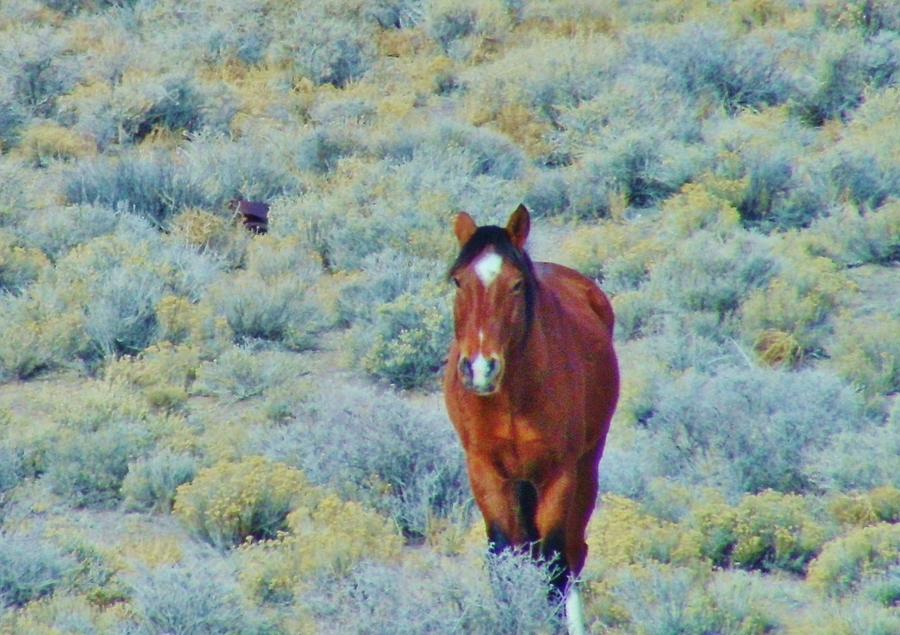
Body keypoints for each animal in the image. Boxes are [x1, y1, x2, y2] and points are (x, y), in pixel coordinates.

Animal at [444, 206, 620, 632]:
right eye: (458, 281)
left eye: (516, 284)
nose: (479, 368)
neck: (512, 398)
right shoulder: (486, 473)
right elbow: (503, 557)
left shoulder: (558, 476)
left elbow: (555, 563)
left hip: (586, 469)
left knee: (572, 552)